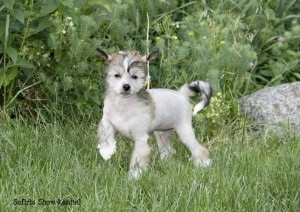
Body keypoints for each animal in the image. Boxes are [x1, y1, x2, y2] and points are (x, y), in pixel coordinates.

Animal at [95, 48, 211, 179]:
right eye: (117, 75)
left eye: (134, 76)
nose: (126, 86)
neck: (122, 105)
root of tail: (182, 94)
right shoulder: (106, 120)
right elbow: (106, 132)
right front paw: (106, 150)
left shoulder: (141, 138)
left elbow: (138, 159)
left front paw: (134, 176)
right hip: (162, 134)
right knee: (168, 150)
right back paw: (167, 163)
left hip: (184, 130)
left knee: (198, 148)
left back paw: (204, 163)